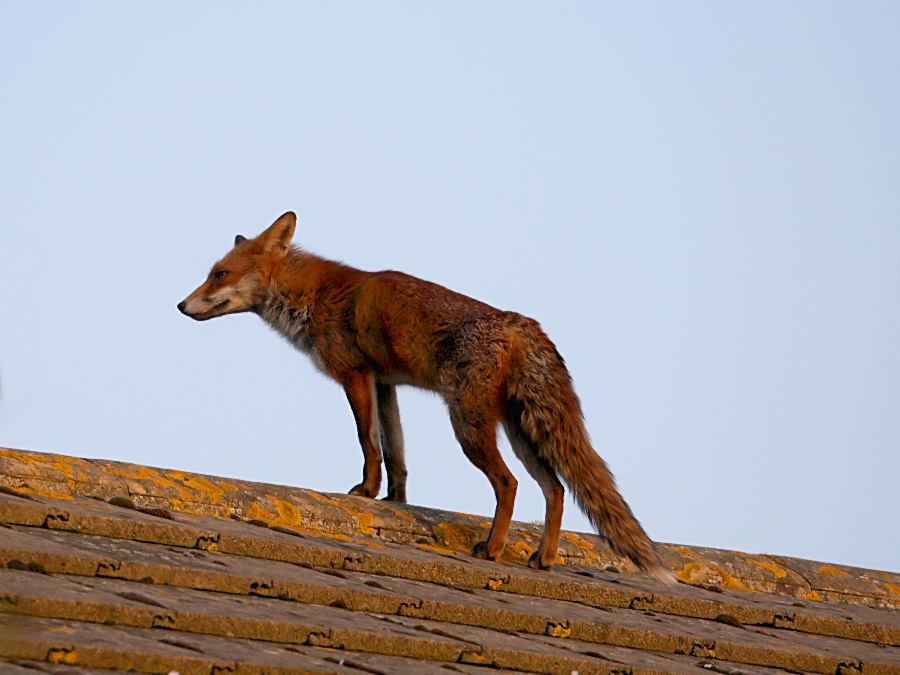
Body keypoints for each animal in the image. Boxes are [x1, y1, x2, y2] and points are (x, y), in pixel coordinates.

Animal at [178, 211, 673, 582]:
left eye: (219, 275)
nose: (181, 306)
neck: (315, 294)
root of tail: (521, 323)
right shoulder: (386, 384)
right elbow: (395, 453)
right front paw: (394, 503)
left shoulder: (356, 375)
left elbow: (367, 443)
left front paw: (366, 492)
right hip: (519, 433)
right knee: (555, 489)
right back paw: (543, 558)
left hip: (469, 426)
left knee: (510, 484)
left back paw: (492, 549)